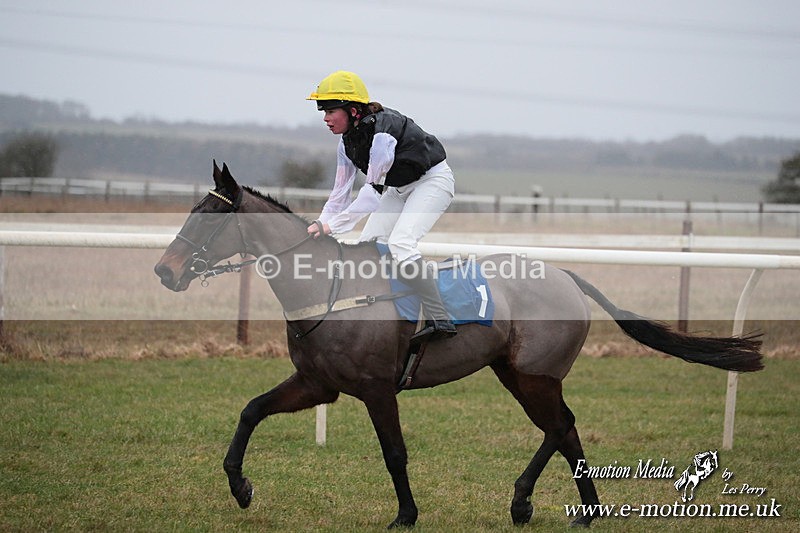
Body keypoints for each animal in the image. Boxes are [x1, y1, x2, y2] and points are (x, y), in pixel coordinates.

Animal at [154, 161, 763, 528]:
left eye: (207, 218)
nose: (164, 271)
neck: (328, 287)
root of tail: (567, 274)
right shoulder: (317, 385)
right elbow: (251, 410)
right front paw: (240, 487)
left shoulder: (377, 389)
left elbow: (394, 453)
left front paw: (405, 514)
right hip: (515, 373)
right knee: (562, 429)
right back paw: (559, 507)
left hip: (535, 374)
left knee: (560, 426)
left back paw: (548, 503)